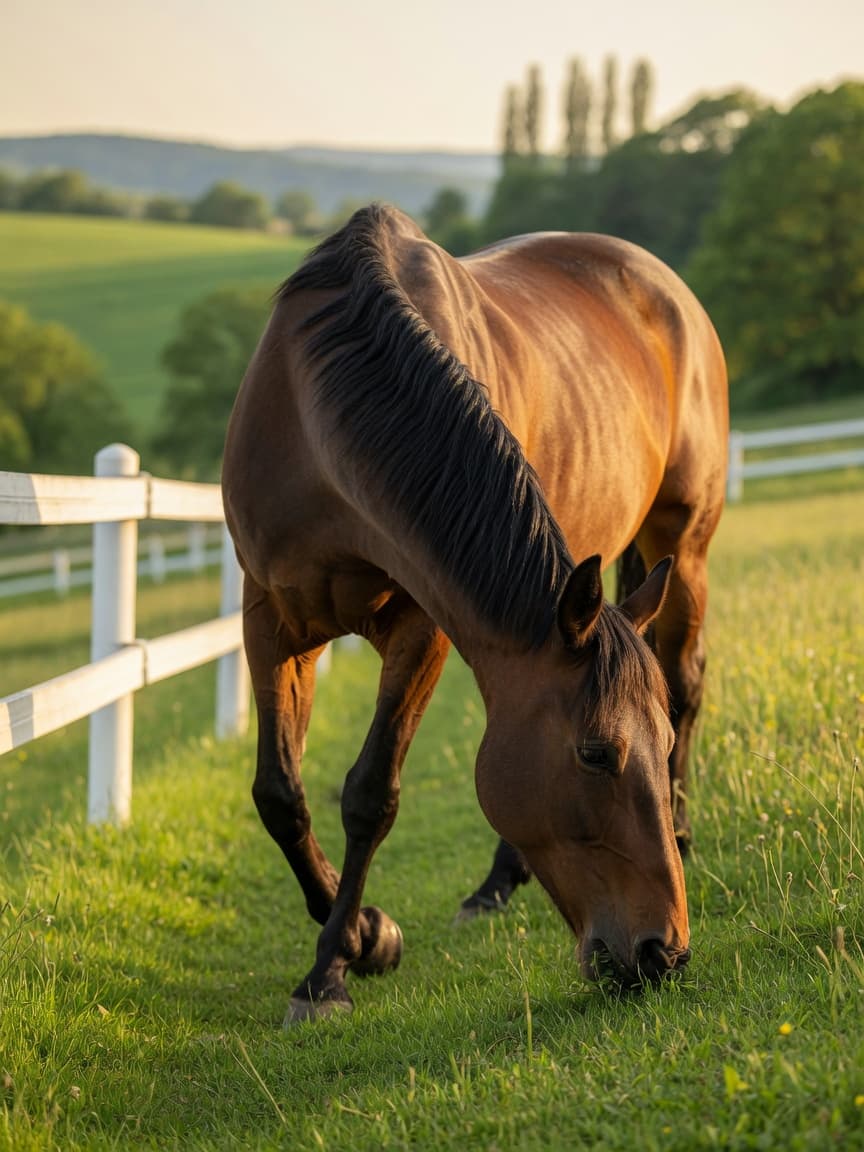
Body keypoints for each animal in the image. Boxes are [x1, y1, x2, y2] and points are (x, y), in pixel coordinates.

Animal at [222, 203, 728, 1023]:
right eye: (595, 753)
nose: (664, 952)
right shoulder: (271, 619)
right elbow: (281, 795)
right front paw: (360, 939)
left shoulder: (421, 627)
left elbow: (370, 794)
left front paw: (340, 959)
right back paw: (495, 885)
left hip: (682, 543)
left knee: (686, 680)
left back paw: (676, 834)